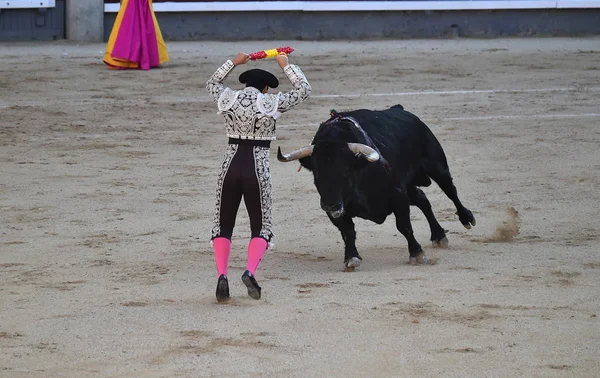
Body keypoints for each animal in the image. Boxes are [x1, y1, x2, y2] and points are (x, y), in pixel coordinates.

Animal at [278, 103, 478, 268]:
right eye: (317, 175)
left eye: (346, 172)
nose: (331, 205)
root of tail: (400, 109)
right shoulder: (336, 210)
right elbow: (347, 231)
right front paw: (351, 257)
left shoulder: (398, 195)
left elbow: (403, 225)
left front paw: (417, 253)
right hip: (409, 185)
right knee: (422, 198)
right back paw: (438, 235)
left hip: (436, 166)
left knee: (450, 190)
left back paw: (466, 218)